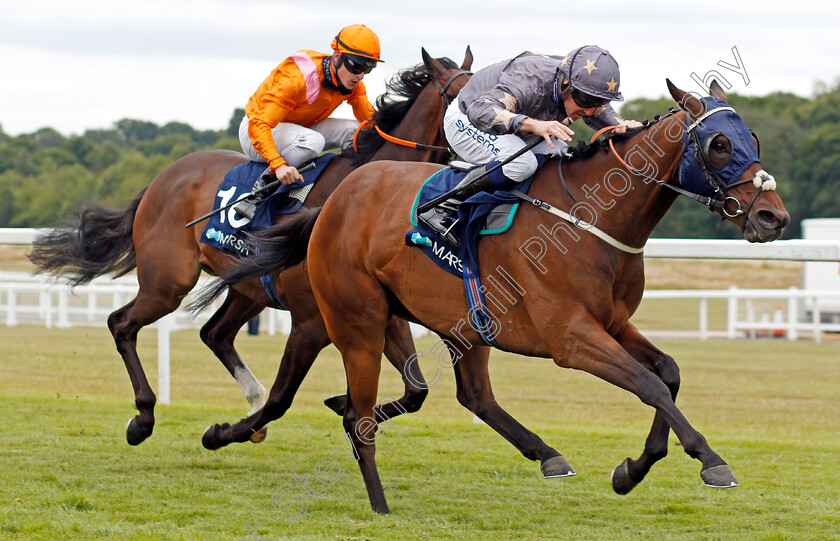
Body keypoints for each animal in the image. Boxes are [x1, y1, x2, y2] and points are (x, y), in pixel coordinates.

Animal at [26, 48, 472, 448]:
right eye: (461, 100)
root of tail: (162, 177)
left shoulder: (379, 312)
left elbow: (416, 391)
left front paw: (341, 402)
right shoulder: (310, 321)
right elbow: (282, 399)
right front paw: (221, 433)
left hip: (247, 287)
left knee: (214, 334)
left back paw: (246, 403)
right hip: (167, 282)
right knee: (121, 324)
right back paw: (144, 418)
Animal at [207, 79, 792, 510]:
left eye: (753, 138)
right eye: (718, 144)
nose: (773, 217)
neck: (591, 217)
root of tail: (331, 200)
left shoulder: (613, 322)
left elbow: (667, 373)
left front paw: (631, 470)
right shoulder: (570, 338)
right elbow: (648, 384)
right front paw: (710, 460)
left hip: (455, 322)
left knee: (466, 396)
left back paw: (545, 453)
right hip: (355, 319)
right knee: (357, 411)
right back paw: (375, 499)